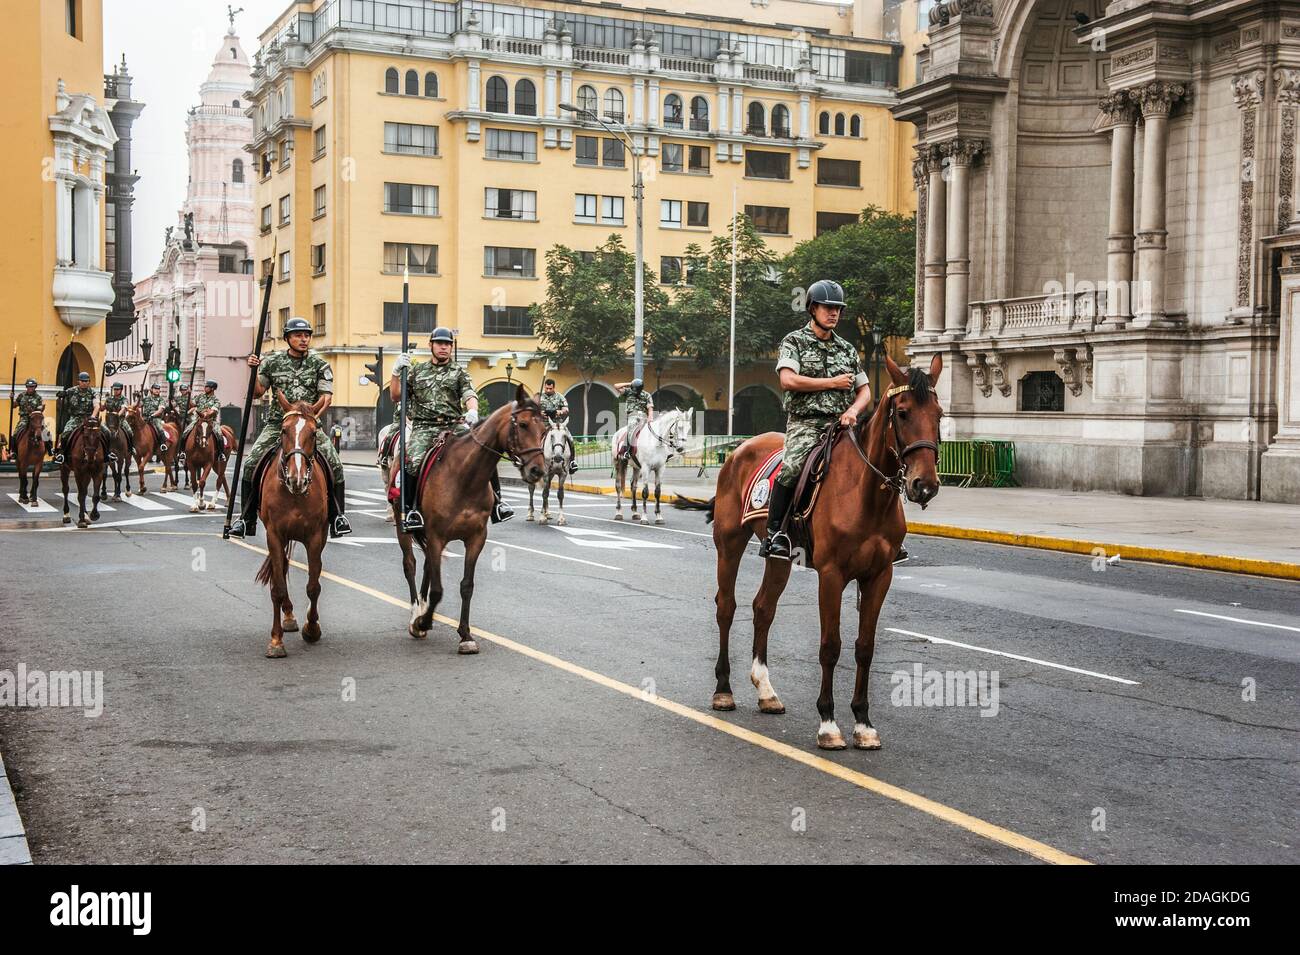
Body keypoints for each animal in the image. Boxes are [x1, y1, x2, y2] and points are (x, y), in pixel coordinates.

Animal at [250, 394, 327, 657]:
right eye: (284, 430)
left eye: (314, 432)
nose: (297, 478)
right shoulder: (274, 535)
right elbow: (278, 588)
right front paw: (276, 641)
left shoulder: (316, 538)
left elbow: (313, 586)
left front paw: (312, 629)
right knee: (281, 570)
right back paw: (289, 616)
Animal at [390, 384, 543, 654]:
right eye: (523, 424)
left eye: (544, 429)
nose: (538, 470)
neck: (466, 477)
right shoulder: (436, 536)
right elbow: (438, 589)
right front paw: (423, 621)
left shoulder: (476, 538)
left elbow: (466, 586)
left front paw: (465, 635)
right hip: (403, 526)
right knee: (410, 564)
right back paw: (416, 613)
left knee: (428, 565)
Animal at [681, 356, 946, 748]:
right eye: (902, 412)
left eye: (939, 414)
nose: (924, 485)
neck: (868, 495)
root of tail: (739, 449)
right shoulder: (832, 575)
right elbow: (830, 646)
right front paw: (828, 722)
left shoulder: (880, 575)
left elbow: (864, 647)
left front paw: (863, 723)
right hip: (728, 544)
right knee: (726, 607)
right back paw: (723, 689)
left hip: (779, 558)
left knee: (763, 608)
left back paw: (766, 691)